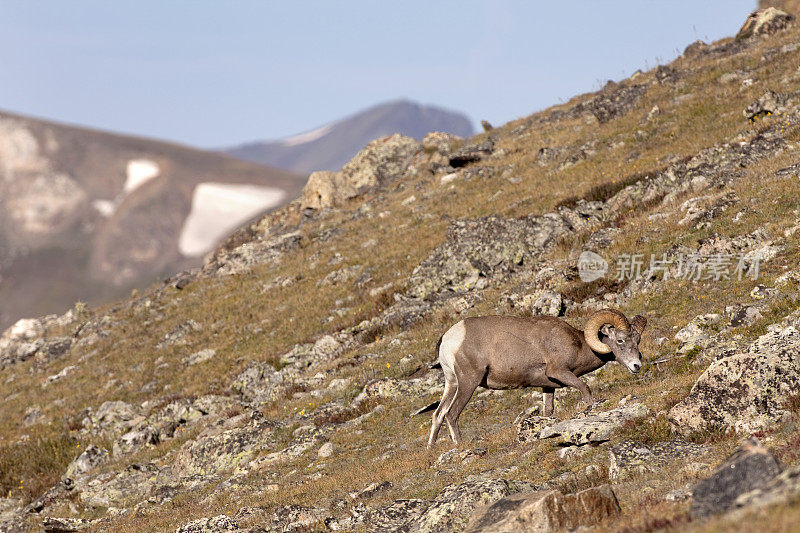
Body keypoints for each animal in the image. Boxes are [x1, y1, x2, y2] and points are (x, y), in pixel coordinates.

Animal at [428, 308, 648, 448]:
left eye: (638, 340)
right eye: (620, 340)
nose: (636, 366)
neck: (579, 345)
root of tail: (448, 339)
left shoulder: (548, 386)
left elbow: (548, 410)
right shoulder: (559, 371)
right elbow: (585, 388)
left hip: (452, 383)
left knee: (438, 414)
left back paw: (431, 448)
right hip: (468, 382)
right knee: (451, 414)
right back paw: (460, 445)